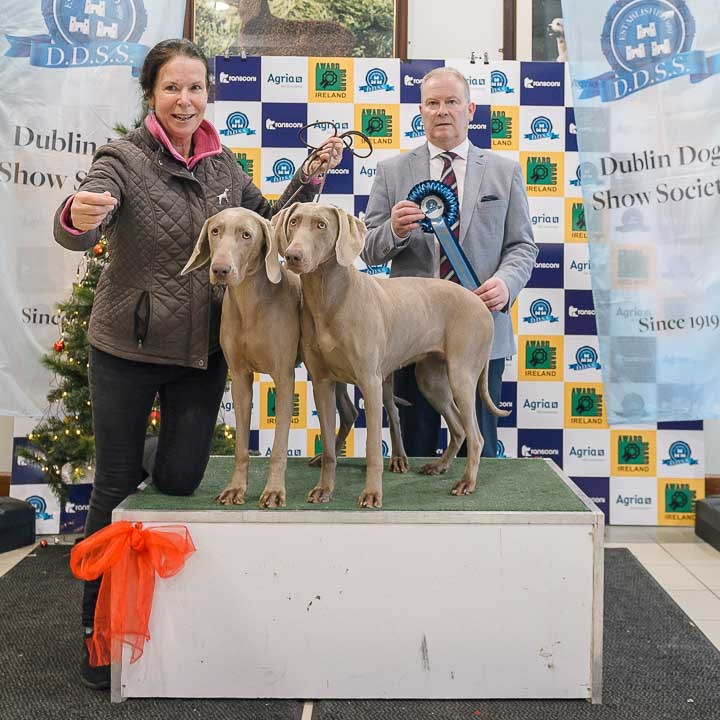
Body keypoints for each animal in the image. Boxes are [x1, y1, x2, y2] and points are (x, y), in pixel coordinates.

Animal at [269, 203, 509, 509]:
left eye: (321, 225)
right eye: (294, 222)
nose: (293, 256)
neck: (328, 297)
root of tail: (479, 300)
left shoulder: (370, 382)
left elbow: (373, 448)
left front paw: (372, 493)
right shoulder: (322, 383)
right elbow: (330, 445)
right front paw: (324, 489)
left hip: (462, 375)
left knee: (475, 436)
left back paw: (466, 482)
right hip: (431, 379)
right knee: (458, 427)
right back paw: (439, 465)